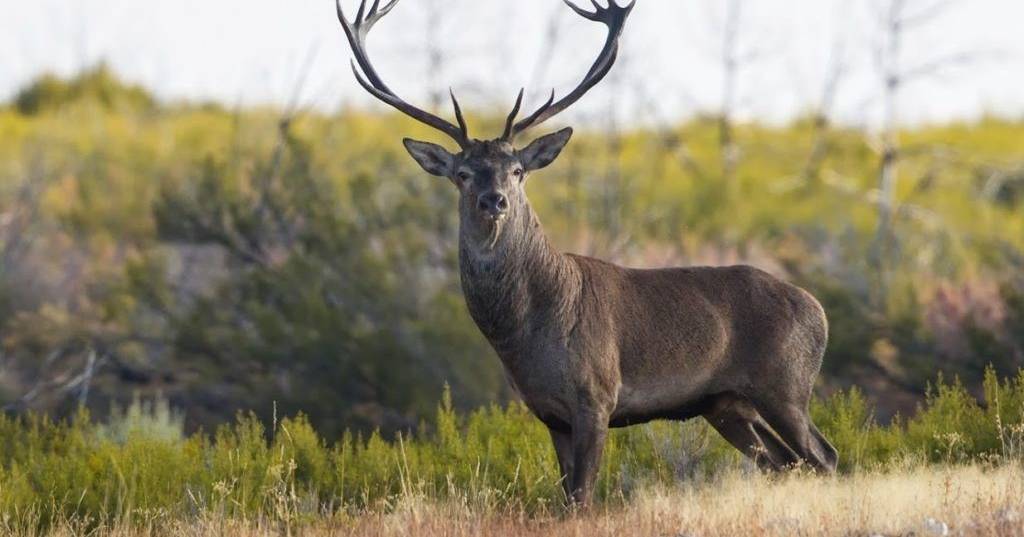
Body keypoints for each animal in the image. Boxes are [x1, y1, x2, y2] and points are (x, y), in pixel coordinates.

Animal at [336, 0, 838, 507]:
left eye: (517, 170)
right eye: (462, 173)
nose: (493, 200)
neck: (526, 333)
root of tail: (818, 308)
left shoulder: (597, 394)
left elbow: (583, 498)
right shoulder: (549, 413)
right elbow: (566, 498)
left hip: (786, 384)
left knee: (823, 455)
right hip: (727, 405)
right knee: (783, 462)